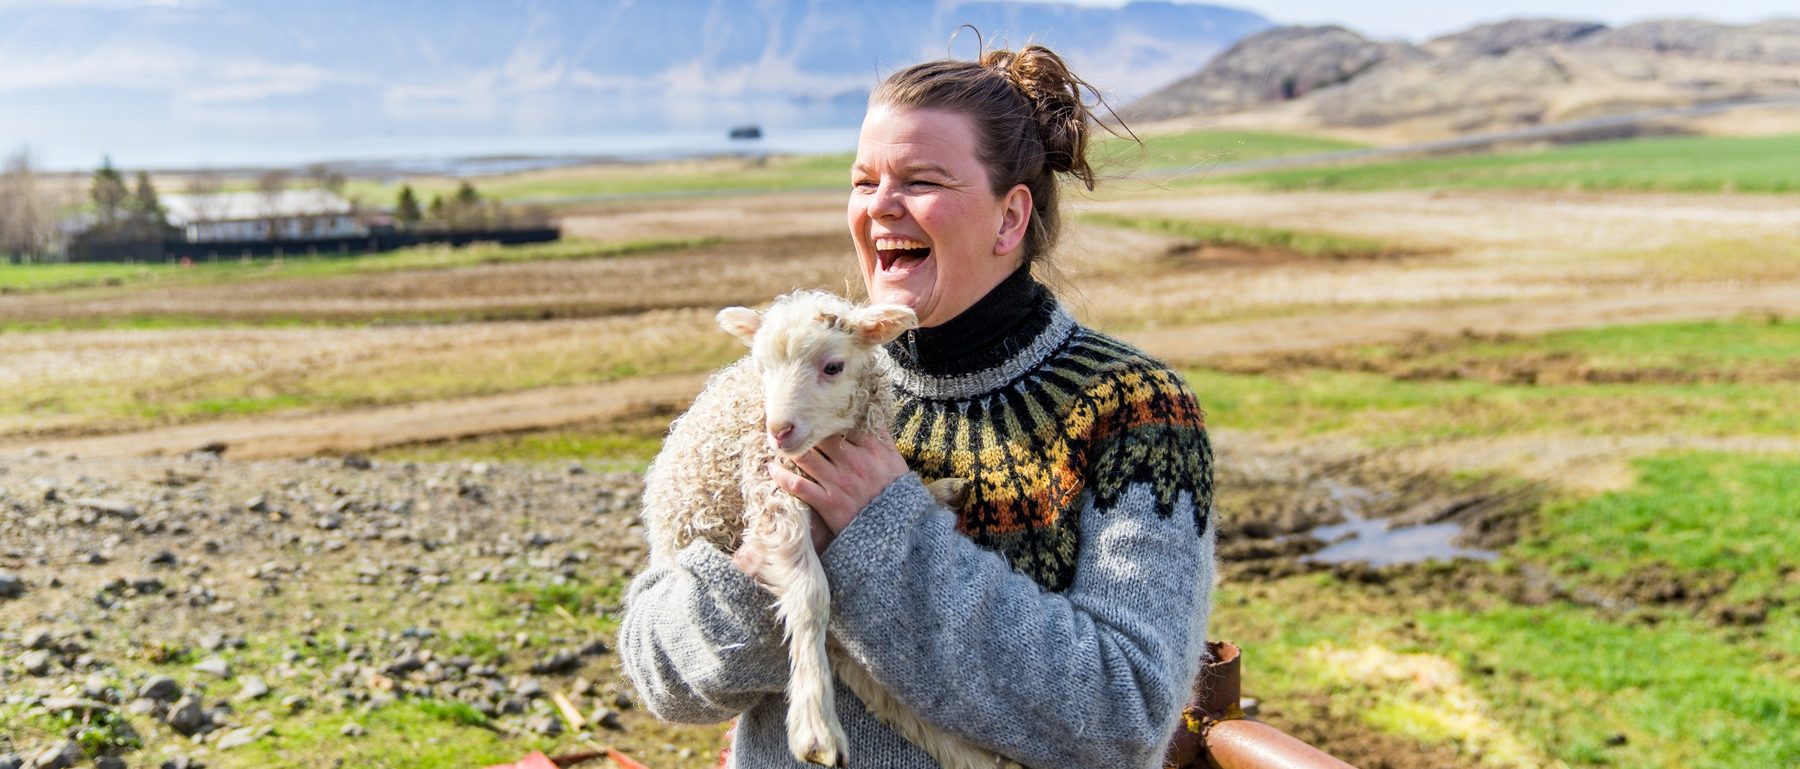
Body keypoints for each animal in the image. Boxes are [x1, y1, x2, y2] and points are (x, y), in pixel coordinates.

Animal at [637, 289, 1008, 769]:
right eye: (761, 368)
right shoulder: (772, 486)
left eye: (833, 367)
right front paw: (816, 729)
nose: (779, 430)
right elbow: (811, 595)